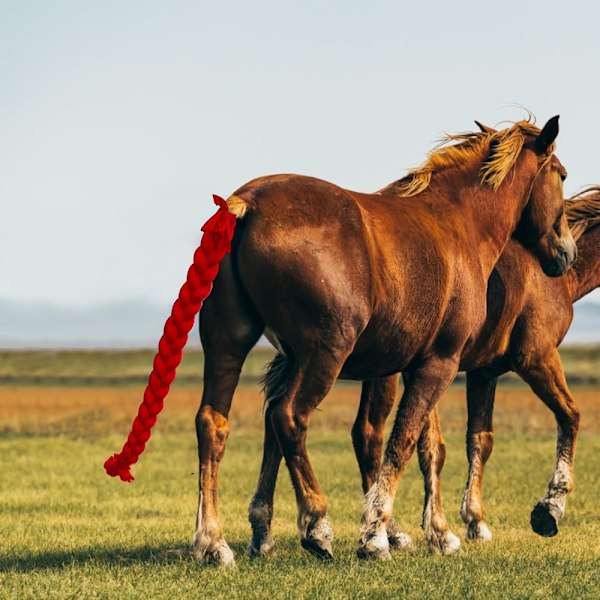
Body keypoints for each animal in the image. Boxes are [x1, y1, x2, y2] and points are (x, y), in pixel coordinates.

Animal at [195, 115, 576, 564]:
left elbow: (417, 446)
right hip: (325, 354)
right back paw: (317, 524)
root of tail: (248, 203)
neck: (459, 222)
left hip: (229, 344)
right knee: (289, 417)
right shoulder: (439, 364)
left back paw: (213, 542)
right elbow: (402, 442)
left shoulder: (405, 367)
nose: (566, 252)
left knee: (213, 423)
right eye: (562, 175)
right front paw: (376, 534)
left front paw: (432, 532)